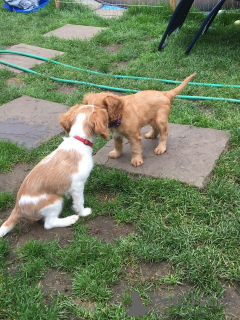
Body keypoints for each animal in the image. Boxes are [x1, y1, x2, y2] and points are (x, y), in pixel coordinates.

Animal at [0, 105, 109, 238]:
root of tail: (17, 209)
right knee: (49, 224)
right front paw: (83, 212)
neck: (79, 140)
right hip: (55, 201)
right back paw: (70, 219)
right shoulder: (78, 185)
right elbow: (80, 201)